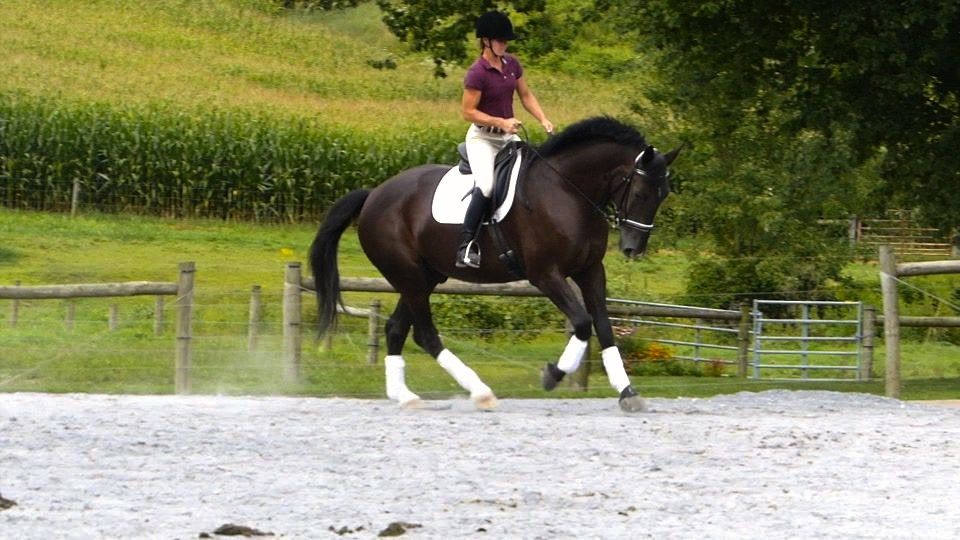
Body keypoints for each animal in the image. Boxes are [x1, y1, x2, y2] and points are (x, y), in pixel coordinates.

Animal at [312, 116, 680, 412]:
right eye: (640, 193)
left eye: (662, 195)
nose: (633, 249)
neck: (567, 190)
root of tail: (374, 195)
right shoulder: (545, 275)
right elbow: (581, 322)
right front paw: (552, 374)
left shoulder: (590, 271)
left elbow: (603, 326)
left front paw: (628, 392)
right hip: (411, 277)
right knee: (426, 334)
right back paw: (481, 392)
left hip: (422, 278)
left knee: (396, 328)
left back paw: (406, 397)